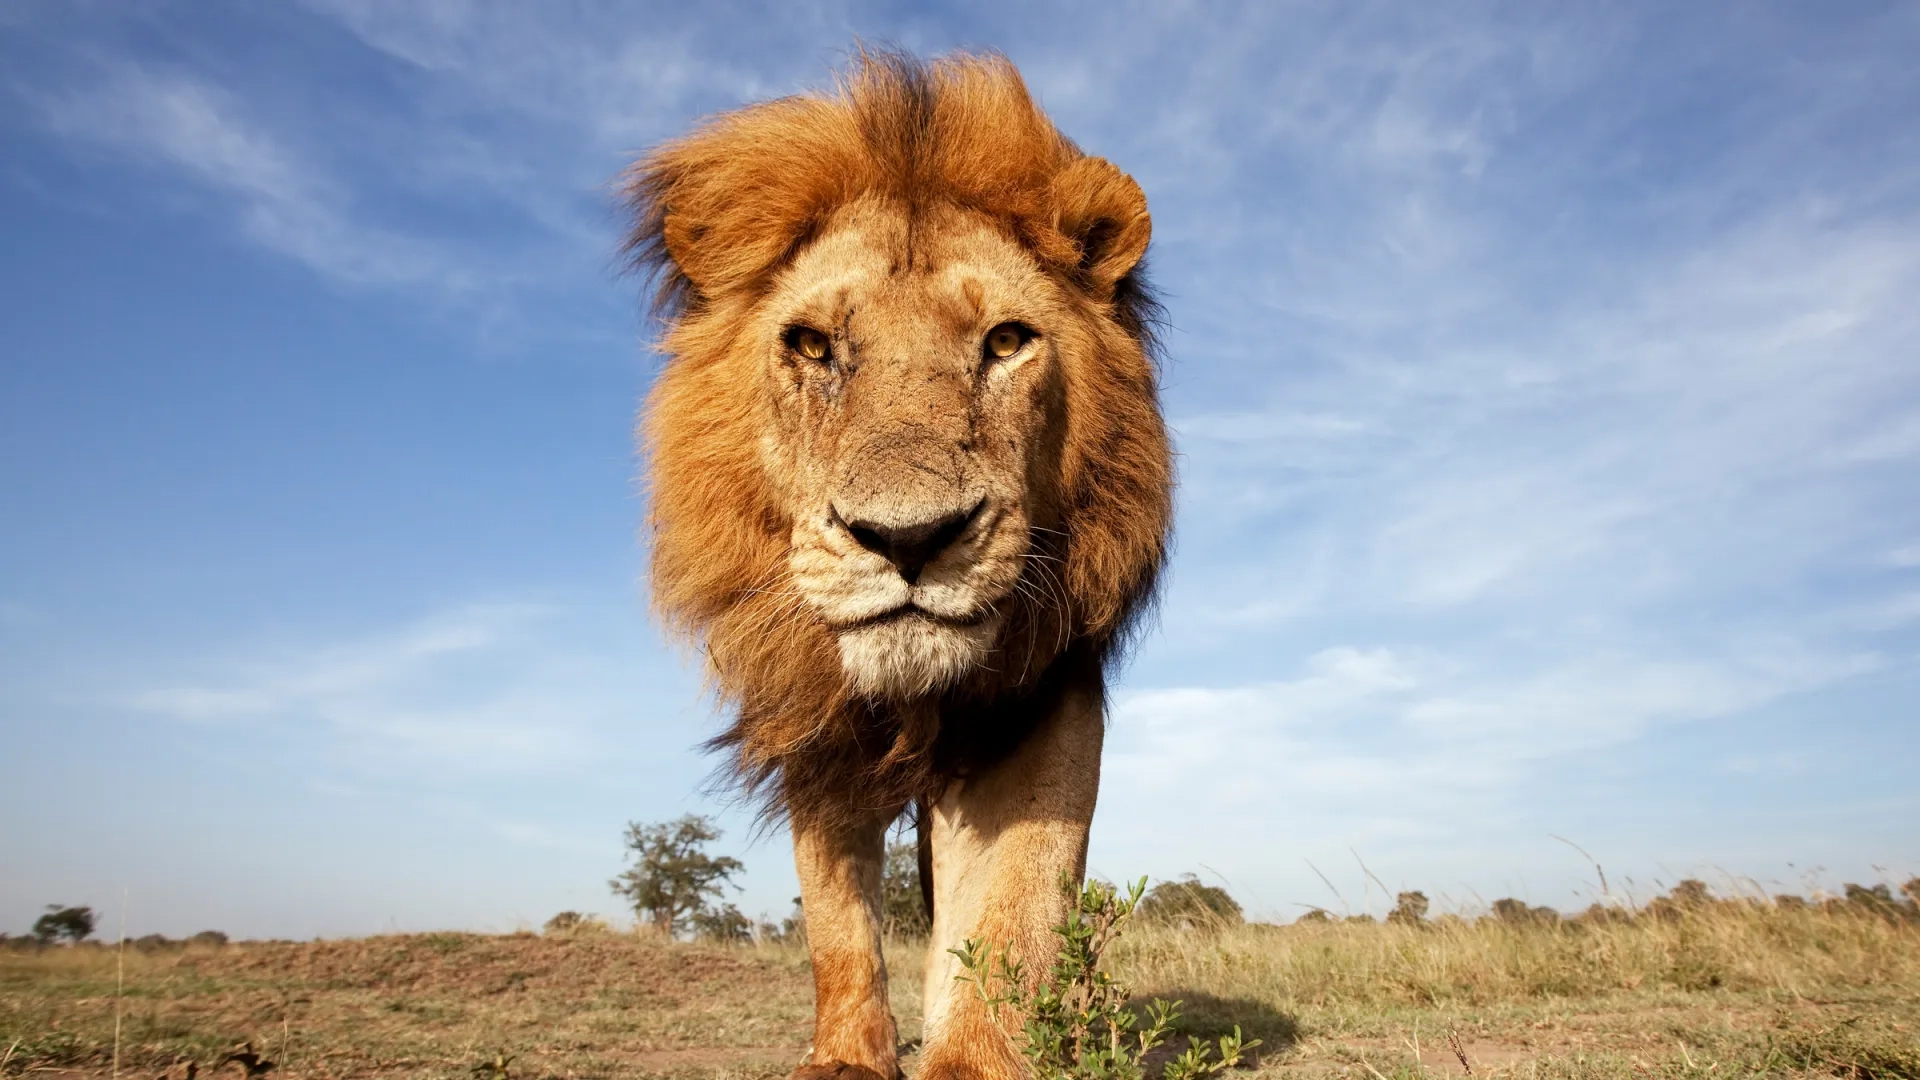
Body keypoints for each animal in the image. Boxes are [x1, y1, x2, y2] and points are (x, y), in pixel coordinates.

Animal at [624, 50, 1173, 1080]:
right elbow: (837, 922)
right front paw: (845, 1056)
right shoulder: (813, 726)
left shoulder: (1046, 702)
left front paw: (976, 1057)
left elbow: (1017, 907)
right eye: (813, 346)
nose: (909, 540)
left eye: (1006, 341)